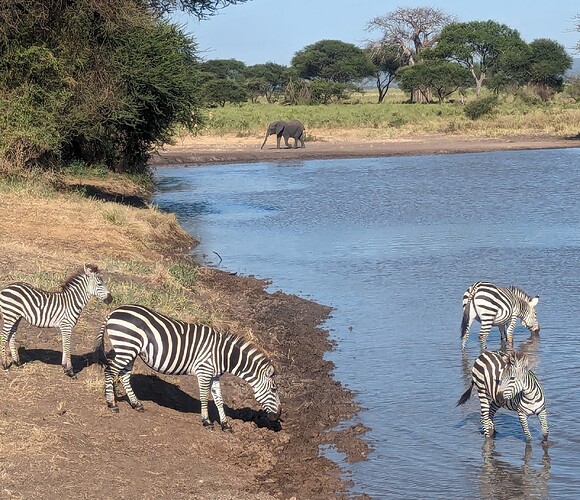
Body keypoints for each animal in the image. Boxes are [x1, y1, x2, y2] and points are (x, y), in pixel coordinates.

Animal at [94, 302, 282, 432]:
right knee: (110, 371)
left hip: (129, 350)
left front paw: (226, 425)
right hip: (126, 347)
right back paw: (112, 404)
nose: (278, 415)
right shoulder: (204, 372)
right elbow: (205, 397)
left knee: (124, 375)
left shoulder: (214, 375)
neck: (223, 355)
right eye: (273, 389)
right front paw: (207, 422)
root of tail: (114, 311)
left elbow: (219, 400)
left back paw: (136, 404)